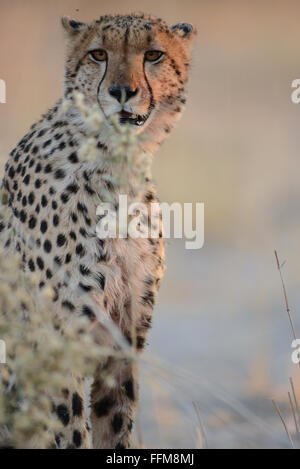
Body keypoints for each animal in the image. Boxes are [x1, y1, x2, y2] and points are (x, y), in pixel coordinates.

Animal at [0, 12, 196, 448]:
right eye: (99, 54)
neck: (119, 167)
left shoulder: (124, 338)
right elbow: (71, 428)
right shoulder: (57, 343)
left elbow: (115, 424)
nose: (123, 91)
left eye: (153, 55)